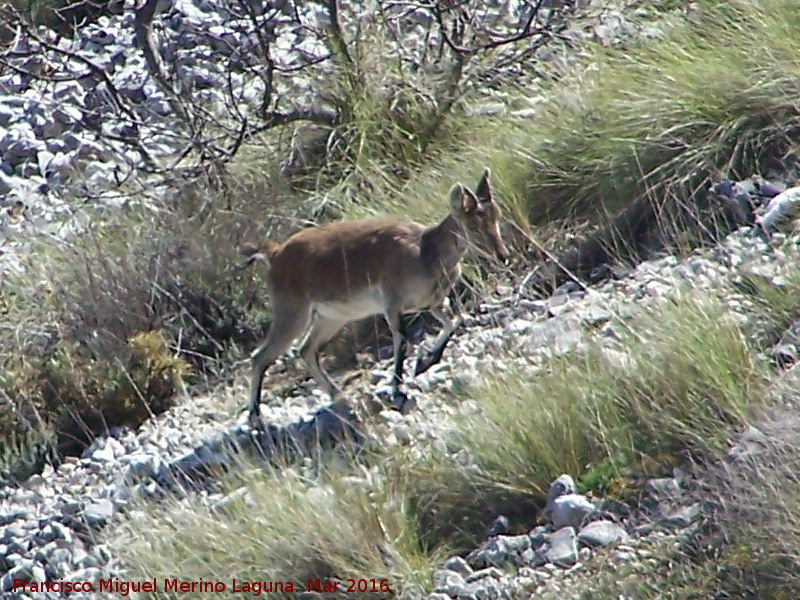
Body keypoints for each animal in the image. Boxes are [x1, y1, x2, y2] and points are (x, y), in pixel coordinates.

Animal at [241, 169, 510, 422]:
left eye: (497, 216)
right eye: (473, 225)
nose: (502, 256)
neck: (425, 253)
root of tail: (274, 255)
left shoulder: (431, 304)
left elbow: (453, 321)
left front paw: (426, 359)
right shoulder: (392, 304)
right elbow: (402, 340)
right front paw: (397, 387)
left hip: (332, 317)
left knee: (305, 350)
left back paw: (337, 393)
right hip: (292, 313)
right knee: (260, 356)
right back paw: (255, 416)